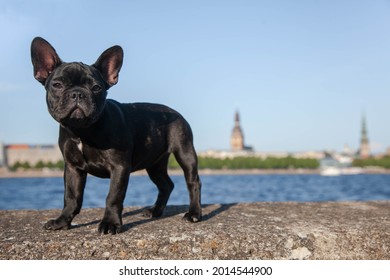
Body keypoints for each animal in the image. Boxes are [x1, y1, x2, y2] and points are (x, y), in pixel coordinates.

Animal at [29, 37, 204, 234]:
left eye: (96, 87)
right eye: (57, 85)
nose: (77, 93)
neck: (83, 130)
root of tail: (176, 112)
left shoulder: (119, 167)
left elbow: (113, 196)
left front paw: (110, 223)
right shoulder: (73, 168)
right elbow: (71, 197)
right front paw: (62, 221)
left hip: (185, 151)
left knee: (193, 181)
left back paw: (194, 213)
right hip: (154, 164)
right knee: (166, 185)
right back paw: (155, 211)